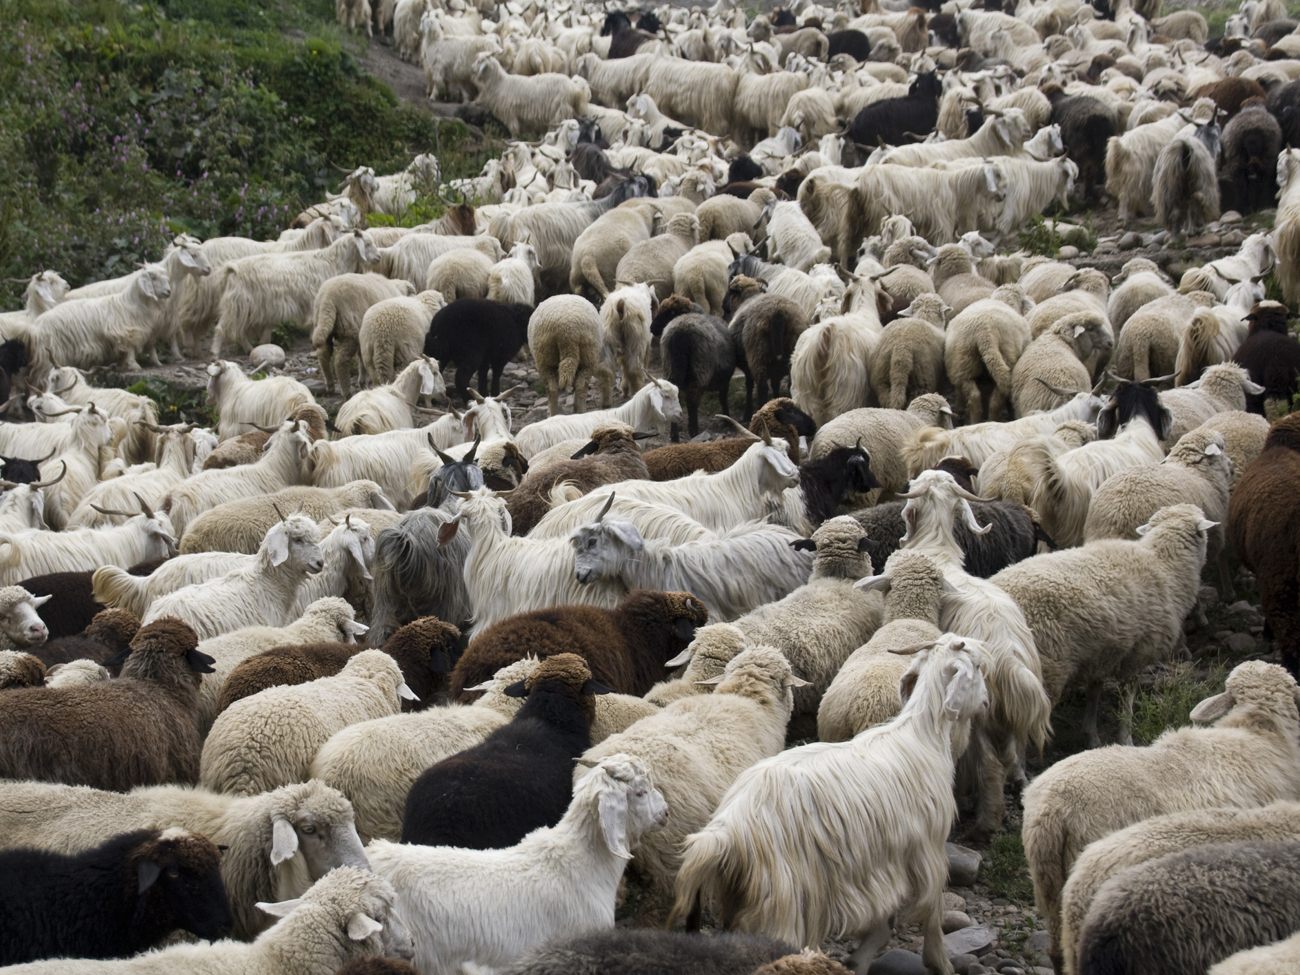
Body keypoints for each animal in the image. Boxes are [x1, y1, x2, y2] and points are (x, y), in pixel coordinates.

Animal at [213, 230, 380, 356]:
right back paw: (216, 352)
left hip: (245, 308)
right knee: (225, 329)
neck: (332, 262)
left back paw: (250, 348)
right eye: (367, 244)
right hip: (239, 305)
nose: (379, 257)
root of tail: (233, 269)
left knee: (238, 332)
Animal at [671, 635, 988, 975]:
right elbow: (931, 912)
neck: (922, 734)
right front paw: (939, 961)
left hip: (741, 896)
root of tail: (729, 830)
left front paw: (859, 959)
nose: (986, 703)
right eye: (978, 666)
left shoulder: (881, 862)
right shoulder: (927, 850)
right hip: (784, 902)